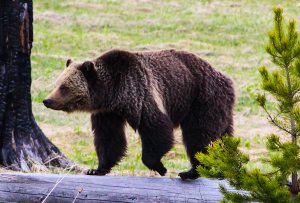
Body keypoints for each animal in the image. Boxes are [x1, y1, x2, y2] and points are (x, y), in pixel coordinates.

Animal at [43, 48, 236, 179]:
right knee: (223, 137)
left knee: (199, 136)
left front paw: (160, 167)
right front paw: (96, 169)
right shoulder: (108, 113)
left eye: (64, 87)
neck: (113, 93)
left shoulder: (139, 92)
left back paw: (192, 171)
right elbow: (109, 138)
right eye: (57, 84)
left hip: (202, 99)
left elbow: (157, 128)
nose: (47, 100)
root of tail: (227, 78)